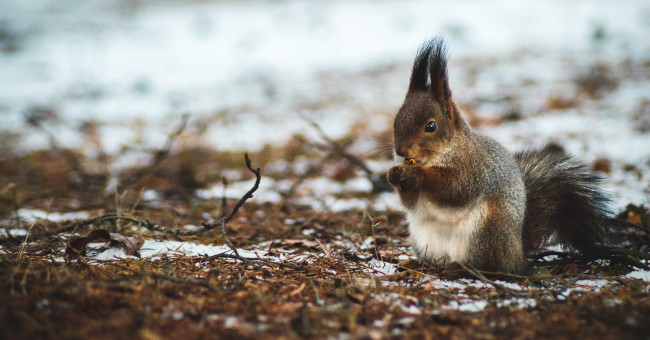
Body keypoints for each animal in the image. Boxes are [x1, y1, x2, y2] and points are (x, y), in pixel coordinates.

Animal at [384, 38, 616, 274]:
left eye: (431, 126)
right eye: (395, 122)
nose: (401, 151)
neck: (442, 154)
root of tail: (516, 254)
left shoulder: (473, 168)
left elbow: (454, 189)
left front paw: (417, 174)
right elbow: (410, 202)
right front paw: (393, 174)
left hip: (486, 231)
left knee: (486, 265)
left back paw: (460, 267)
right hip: (424, 240)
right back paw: (416, 263)